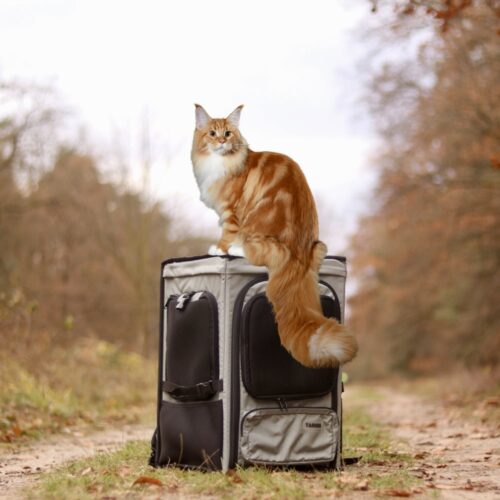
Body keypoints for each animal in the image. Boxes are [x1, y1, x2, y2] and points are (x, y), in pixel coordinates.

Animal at [189, 103, 358, 368]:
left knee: (253, 251)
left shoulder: (231, 212)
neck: (221, 163)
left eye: (228, 133)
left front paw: (219, 248)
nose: (222, 143)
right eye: (212, 134)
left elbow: (227, 233)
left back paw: (236, 250)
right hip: (320, 246)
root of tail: (300, 257)